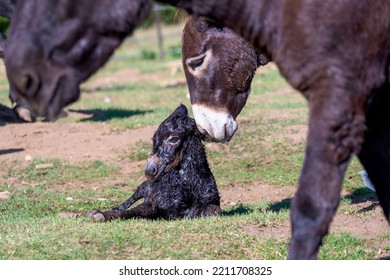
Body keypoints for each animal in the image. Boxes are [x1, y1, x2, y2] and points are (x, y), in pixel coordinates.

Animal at [89, 104, 221, 222]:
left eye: (174, 139)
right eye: (153, 138)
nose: (149, 171)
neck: (188, 190)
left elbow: (214, 211)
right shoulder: (155, 203)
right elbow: (139, 209)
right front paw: (99, 215)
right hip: (144, 187)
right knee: (129, 200)